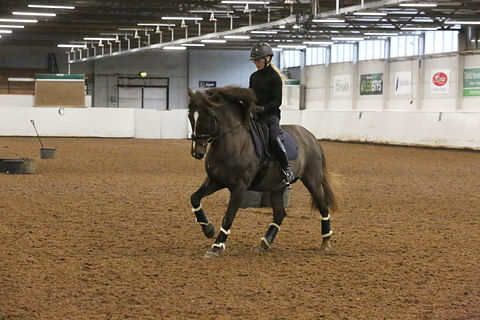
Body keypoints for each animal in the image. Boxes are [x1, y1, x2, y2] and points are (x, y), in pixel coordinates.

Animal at [188, 86, 338, 258]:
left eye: (208, 116)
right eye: (190, 116)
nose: (197, 152)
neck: (232, 143)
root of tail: (310, 137)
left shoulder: (239, 188)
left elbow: (228, 216)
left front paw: (217, 246)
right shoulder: (215, 180)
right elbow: (195, 198)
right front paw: (208, 229)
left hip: (312, 181)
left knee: (323, 206)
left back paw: (326, 242)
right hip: (277, 187)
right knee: (279, 213)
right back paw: (264, 243)